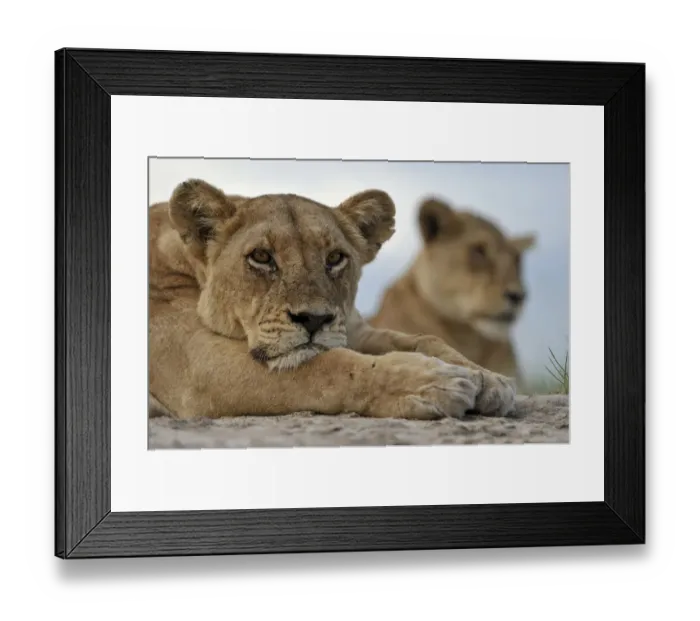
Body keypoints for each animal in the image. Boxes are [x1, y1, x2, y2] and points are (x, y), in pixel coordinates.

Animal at [148, 179, 517, 422]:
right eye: (261, 257)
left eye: (335, 258)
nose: (314, 319)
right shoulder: (199, 362)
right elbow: (330, 368)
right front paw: (432, 383)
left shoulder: (352, 328)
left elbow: (425, 338)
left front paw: (488, 378)